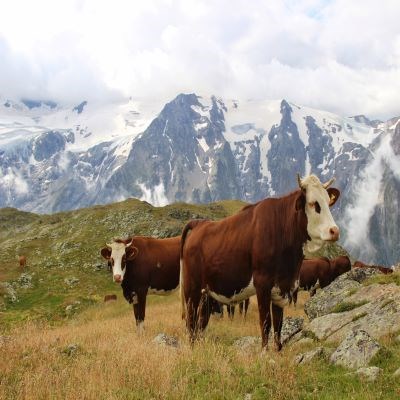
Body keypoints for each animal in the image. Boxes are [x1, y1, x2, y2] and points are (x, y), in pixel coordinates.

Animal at [180, 175, 340, 350]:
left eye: (328, 201)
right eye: (313, 203)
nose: (335, 231)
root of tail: (199, 224)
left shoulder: (283, 288)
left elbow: (278, 325)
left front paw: (277, 351)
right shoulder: (262, 284)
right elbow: (265, 322)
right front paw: (264, 352)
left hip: (207, 293)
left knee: (200, 322)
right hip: (191, 289)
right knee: (190, 321)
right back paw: (191, 348)